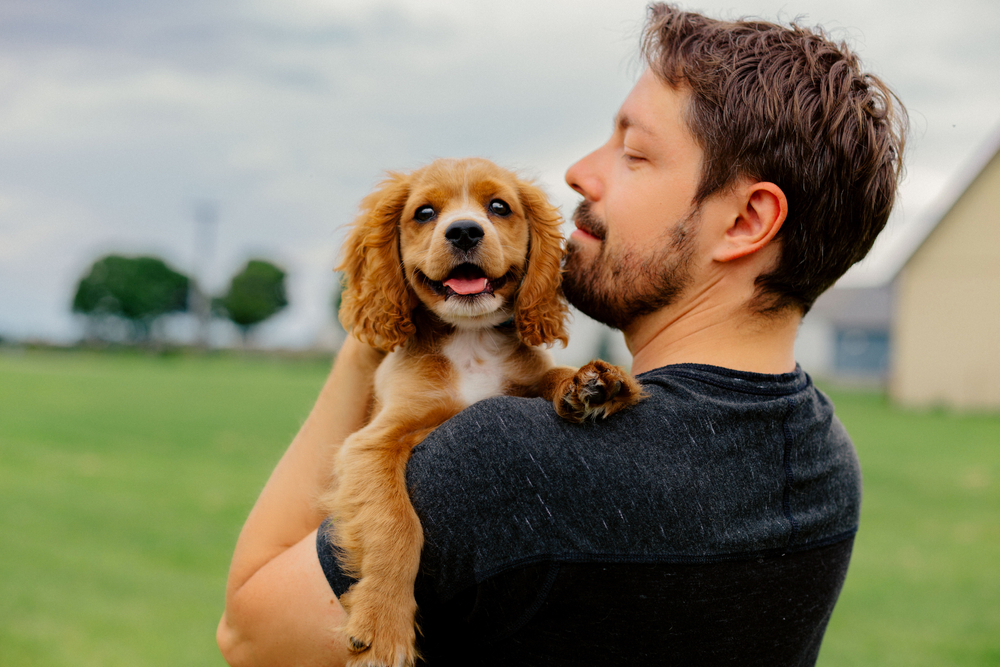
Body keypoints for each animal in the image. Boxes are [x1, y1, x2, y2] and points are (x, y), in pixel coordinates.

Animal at [324, 158, 644, 667]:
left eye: (498, 207)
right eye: (424, 213)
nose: (464, 231)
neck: (470, 340)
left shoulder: (524, 379)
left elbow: (548, 377)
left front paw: (592, 382)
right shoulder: (372, 442)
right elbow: (395, 524)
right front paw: (383, 625)